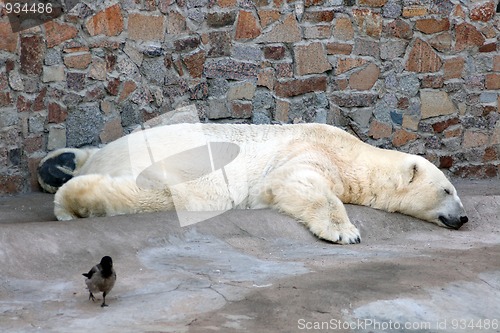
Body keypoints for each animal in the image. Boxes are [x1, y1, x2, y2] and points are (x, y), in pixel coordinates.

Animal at [38, 122, 468, 244]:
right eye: (447, 190)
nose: (463, 218)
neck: (352, 153)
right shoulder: (310, 151)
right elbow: (295, 182)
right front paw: (345, 232)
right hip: (177, 164)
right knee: (180, 195)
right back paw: (73, 198)